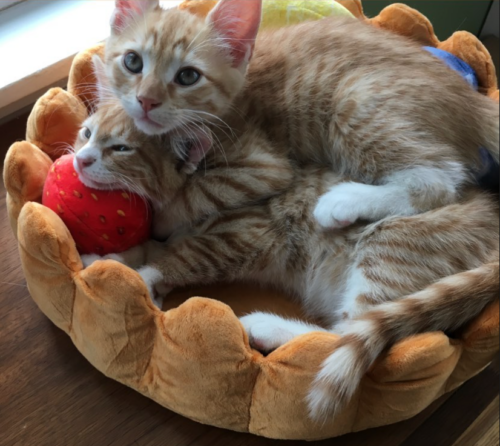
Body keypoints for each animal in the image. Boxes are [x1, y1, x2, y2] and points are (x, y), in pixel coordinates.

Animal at [99, 0, 498, 235]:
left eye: (187, 76)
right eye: (132, 61)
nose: (146, 100)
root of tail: (471, 99)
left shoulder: (264, 164)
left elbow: (198, 192)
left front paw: (159, 224)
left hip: (355, 99)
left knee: (439, 181)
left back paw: (342, 203)